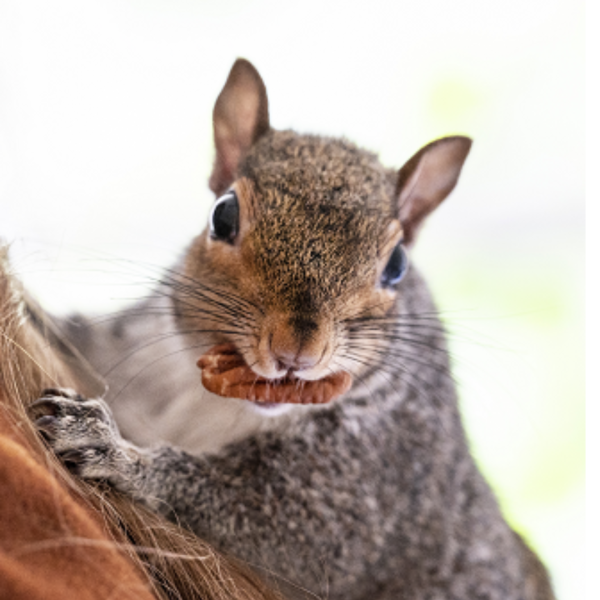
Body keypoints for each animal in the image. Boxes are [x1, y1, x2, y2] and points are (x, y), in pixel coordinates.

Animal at [30, 57, 556, 600]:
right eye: (222, 215)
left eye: (397, 264)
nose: (297, 351)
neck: (224, 403)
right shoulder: (134, 353)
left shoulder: (371, 477)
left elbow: (280, 524)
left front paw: (114, 450)